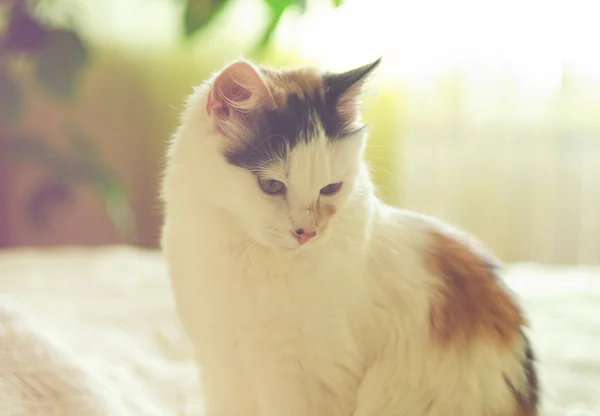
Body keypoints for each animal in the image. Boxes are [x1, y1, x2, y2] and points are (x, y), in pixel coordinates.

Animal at [161, 57, 540, 416]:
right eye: (271, 185)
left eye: (330, 188)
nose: (307, 233)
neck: (248, 261)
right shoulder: (222, 365)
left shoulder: (306, 377)